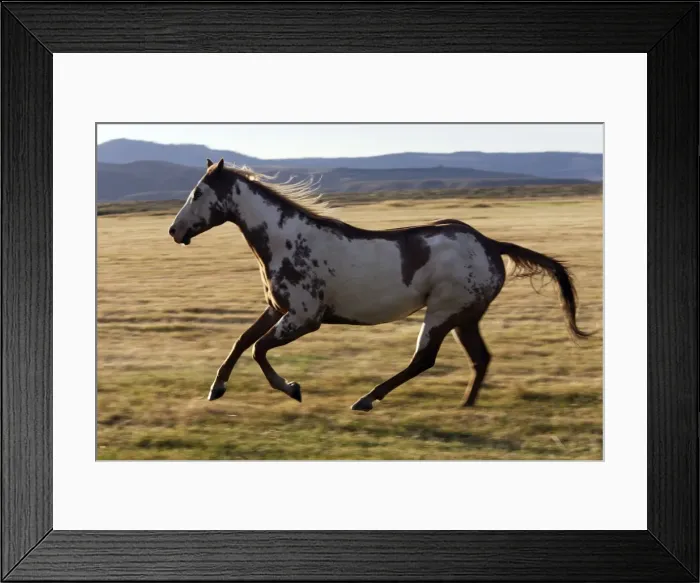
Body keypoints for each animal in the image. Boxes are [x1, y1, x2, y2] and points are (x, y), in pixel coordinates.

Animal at [168, 158, 591, 411]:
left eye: (198, 192)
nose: (174, 230)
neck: (286, 240)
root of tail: (490, 244)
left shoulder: (305, 317)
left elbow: (258, 349)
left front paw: (293, 389)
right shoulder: (277, 308)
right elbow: (242, 341)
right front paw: (216, 389)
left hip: (444, 311)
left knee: (424, 359)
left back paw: (367, 399)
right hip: (466, 316)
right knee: (480, 358)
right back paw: (465, 405)